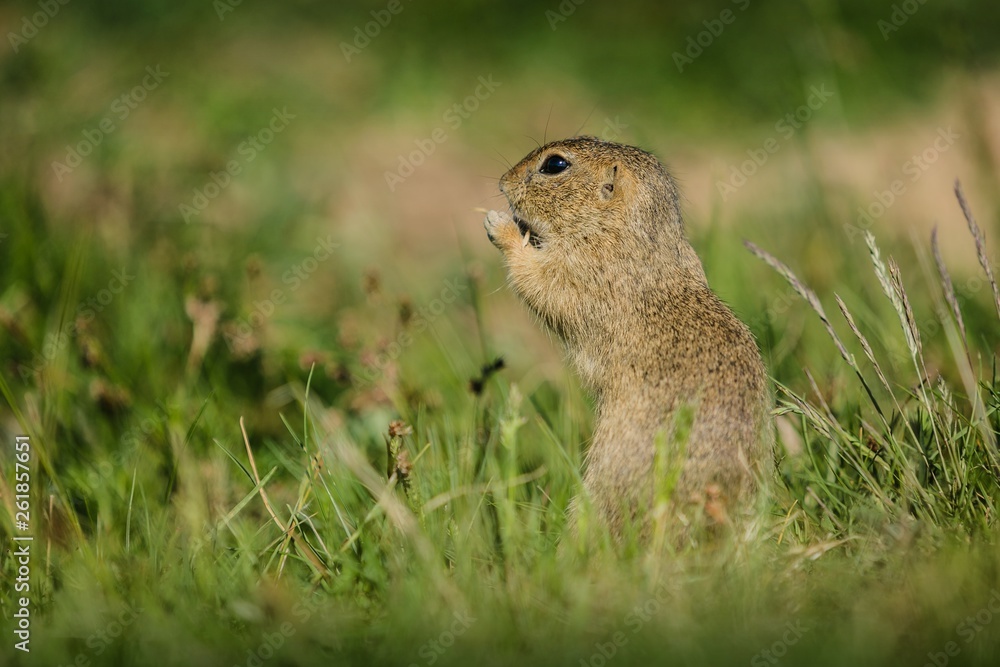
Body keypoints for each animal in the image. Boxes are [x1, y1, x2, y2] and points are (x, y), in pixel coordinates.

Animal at [484, 136, 772, 537]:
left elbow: (539, 280)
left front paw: (500, 225)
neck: (620, 231)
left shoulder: (584, 272)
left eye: (555, 165)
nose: (501, 183)